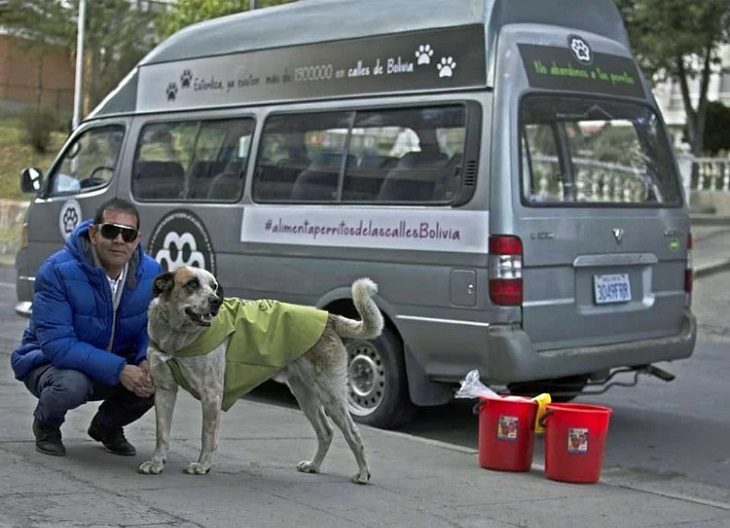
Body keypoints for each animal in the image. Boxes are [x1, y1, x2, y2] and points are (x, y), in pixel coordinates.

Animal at [139, 266, 384, 484]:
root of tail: (329, 318)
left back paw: (363, 474)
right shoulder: (164, 390)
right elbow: (162, 433)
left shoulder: (211, 394)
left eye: (214, 287)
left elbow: (207, 435)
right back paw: (314, 466)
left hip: (330, 394)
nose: (216, 301)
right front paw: (157, 463)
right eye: (192, 284)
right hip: (305, 395)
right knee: (326, 431)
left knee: (353, 433)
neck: (176, 337)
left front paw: (202, 465)